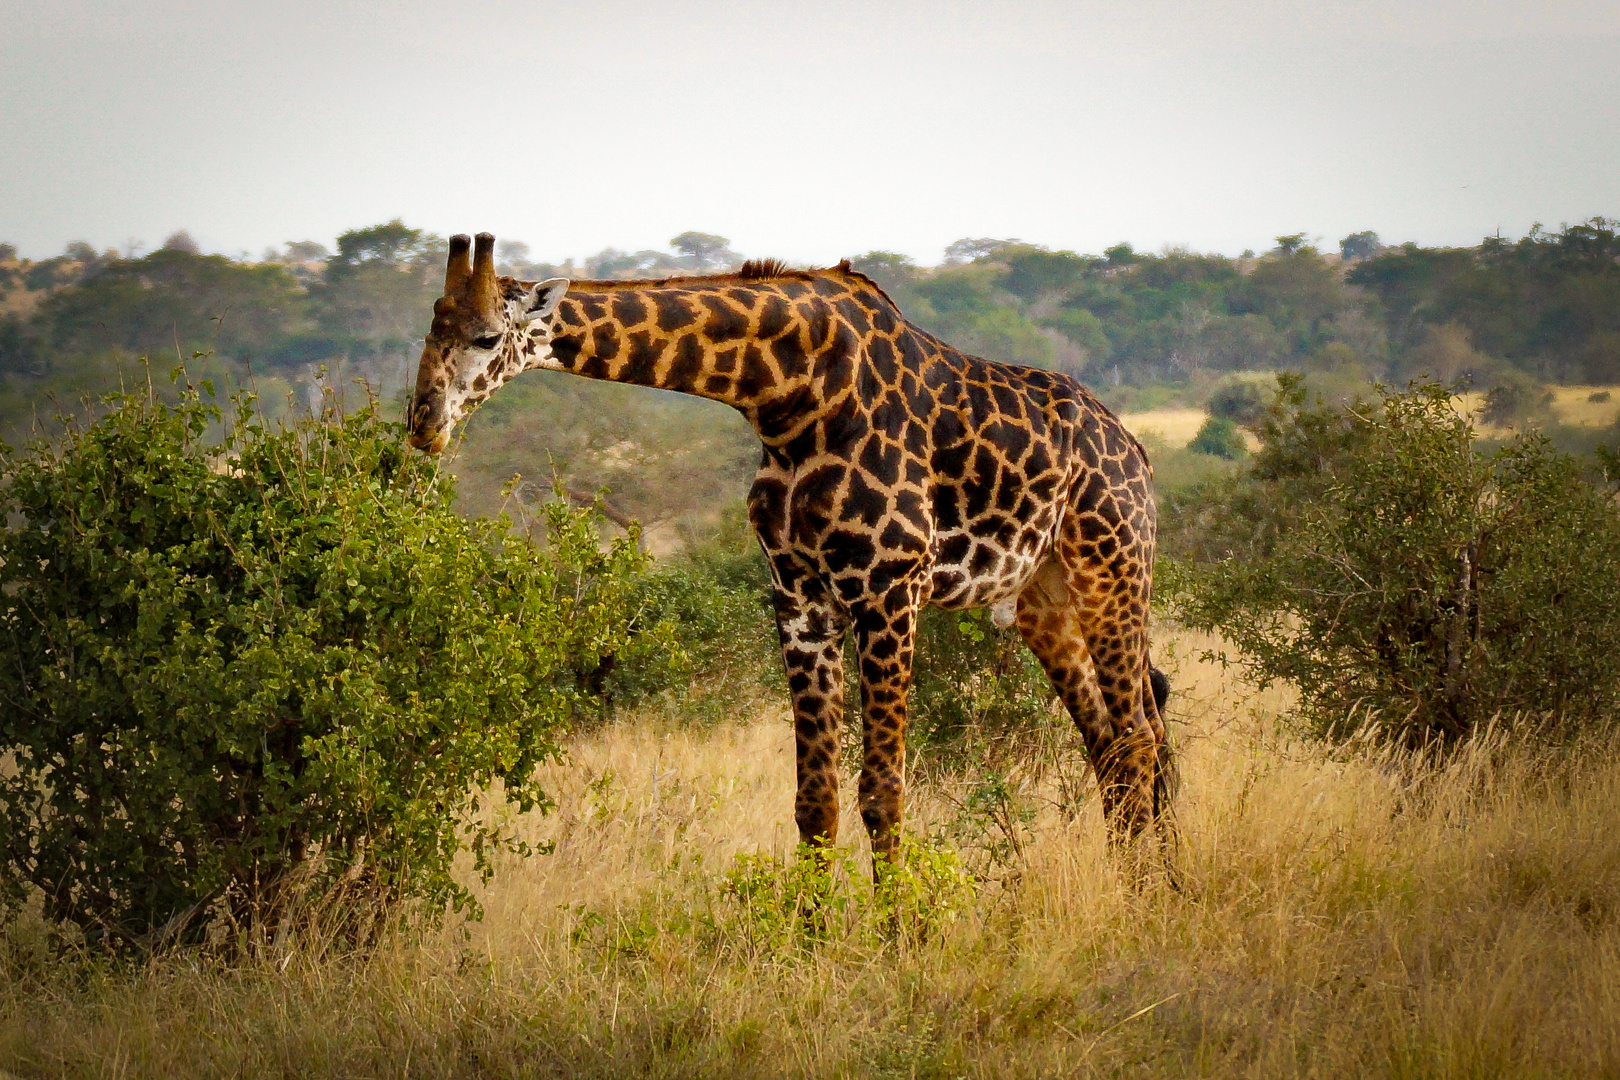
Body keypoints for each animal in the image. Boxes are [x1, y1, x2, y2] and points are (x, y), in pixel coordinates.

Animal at [403, 233, 1172, 867]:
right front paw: (809, 941)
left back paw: (1142, 896)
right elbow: (815, 801)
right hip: (1042, 599)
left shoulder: (890, 590)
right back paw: (1146, 883)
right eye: (430, 329)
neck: (787, 399)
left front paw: (899, 944)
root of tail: (1134, 449)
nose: (423, 424)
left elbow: (882, 792)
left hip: (1113, 573)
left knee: (1139, 735)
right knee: (1114, 741)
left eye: (486, 336)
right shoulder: (799, 598)